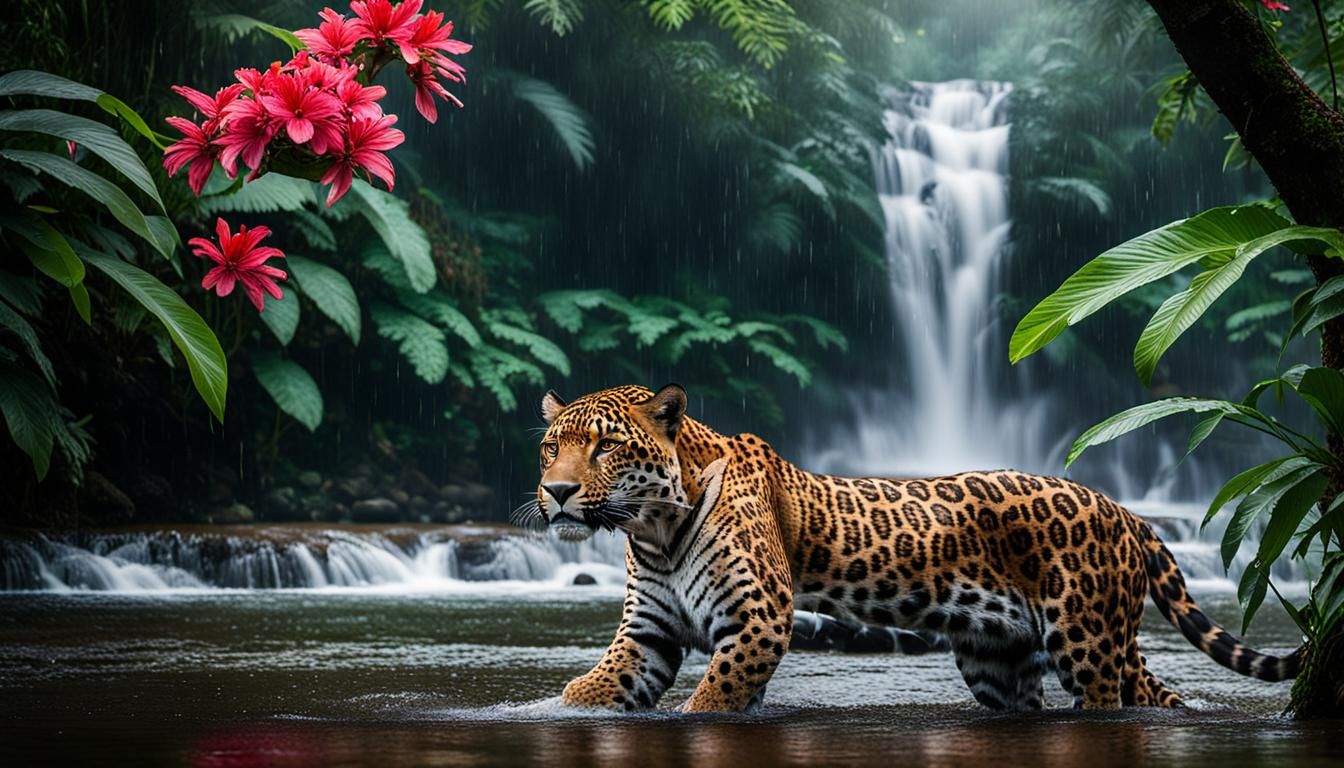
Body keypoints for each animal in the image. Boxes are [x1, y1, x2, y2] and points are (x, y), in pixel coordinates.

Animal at [521, 383, 1305, 712]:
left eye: (607, 447)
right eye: (552, 446)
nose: (556, 492)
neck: (652, 526)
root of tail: (1126, 511)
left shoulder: (757, 621)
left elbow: (710, 702)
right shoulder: (648, 633)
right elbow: (596, 691)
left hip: (1089, 642)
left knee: (1122, 700)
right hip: (996, 658)